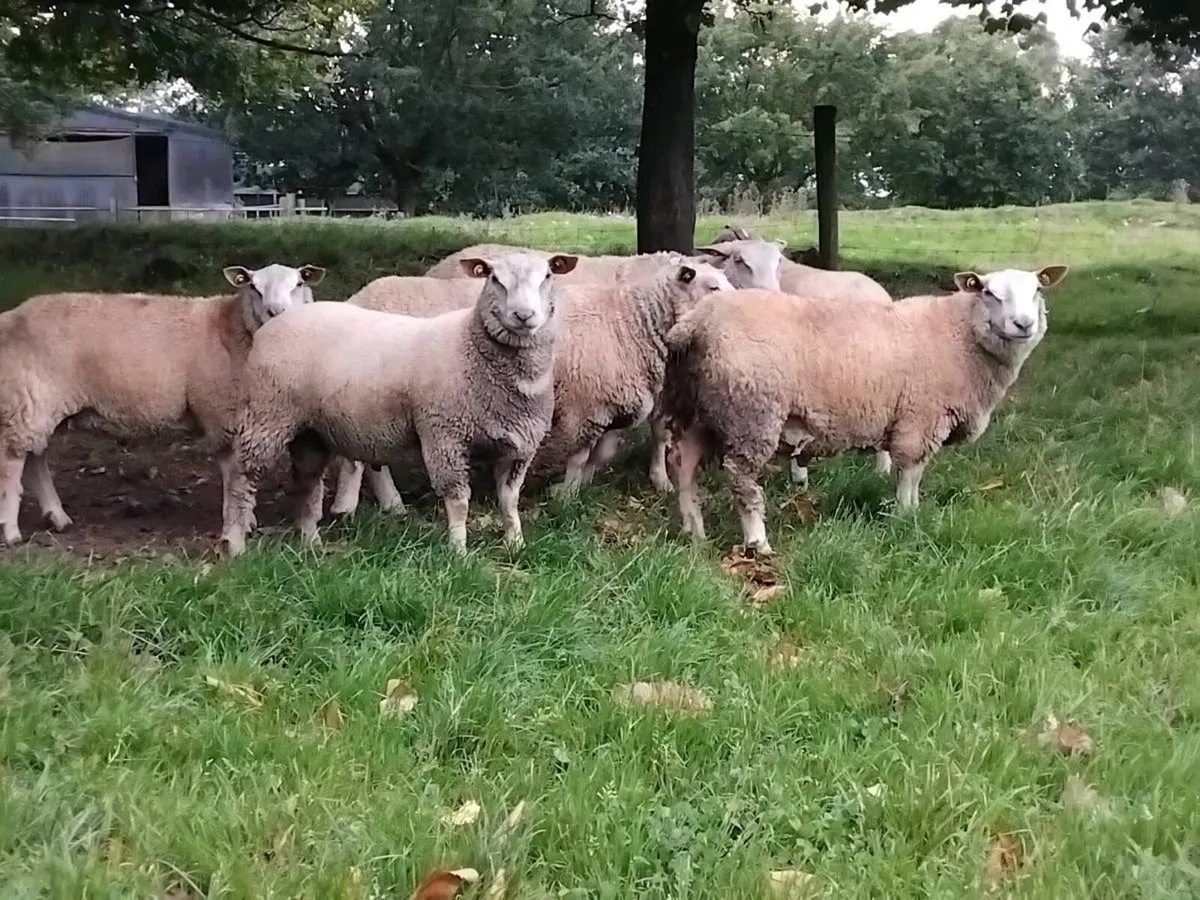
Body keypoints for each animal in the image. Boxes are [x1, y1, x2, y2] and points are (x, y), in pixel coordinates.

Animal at [0, 263, 325, 546]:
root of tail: (10, 316)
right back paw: (11, 531)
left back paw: (57, 516)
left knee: (35, 458)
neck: (229, 326)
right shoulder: (224, 412)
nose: (276, 312)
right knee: (12, 462)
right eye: (254, 288)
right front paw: (239, 520)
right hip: (26, 397)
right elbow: (232, 470)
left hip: (39, 403)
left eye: (298, 284)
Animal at [218, 251, 577, 557]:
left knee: (307, 481)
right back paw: (234, 543)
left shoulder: (519, 446)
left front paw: (516, 544)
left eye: (548, 275)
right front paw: (459, 553)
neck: (471, 348)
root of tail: (277, 322)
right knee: (242, 477)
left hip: (310, 430)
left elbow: (509, 501)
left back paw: (311, 542)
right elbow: (459, 502)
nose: (524, 316)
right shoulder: (444, 437)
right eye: (493, 278)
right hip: (267, 415)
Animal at [327, 259, 735, 518]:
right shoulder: (585, 405)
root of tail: (358, 297)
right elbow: (580, 455)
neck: (629, 321)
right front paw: (566, 494)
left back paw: (388, 505)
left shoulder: (607, 404)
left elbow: (604, 453)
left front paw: (579, 485)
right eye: (712, 286)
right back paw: (372, 504)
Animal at [660, 265, 1068, 554]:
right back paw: (757, 542)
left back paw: (693, 530)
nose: (1024, 324)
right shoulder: (919, 420)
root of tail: (694, 323)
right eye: (988, 292)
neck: (961, 337)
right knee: (741, 477)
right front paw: (907, 517)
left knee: (684, 466)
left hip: (698, 408)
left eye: (1037, 290)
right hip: (751, 413)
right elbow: (910, 474)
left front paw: (910, 512)